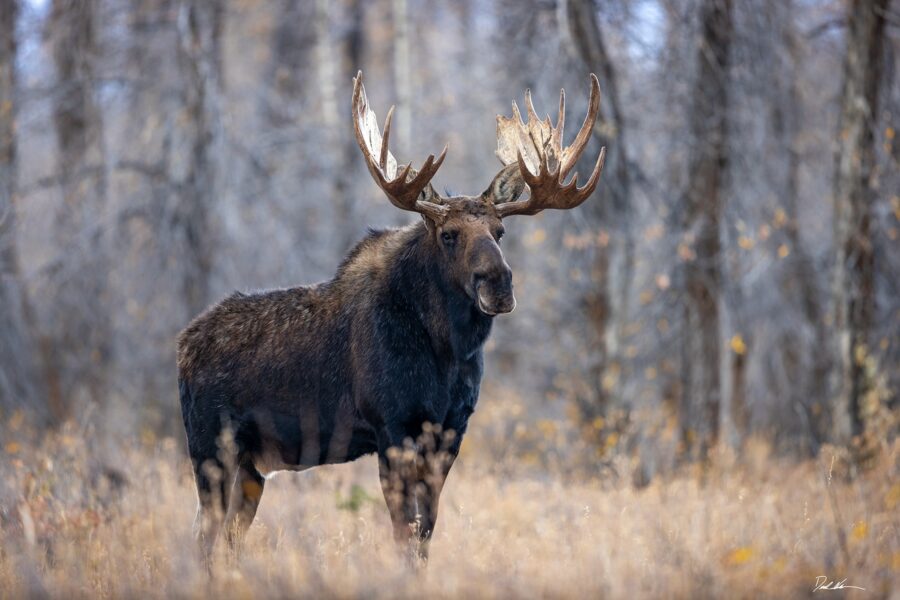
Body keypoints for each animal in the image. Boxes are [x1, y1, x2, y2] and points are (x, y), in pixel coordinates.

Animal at [178, 70, 604, 564]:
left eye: (500, 232)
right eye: (448, 234)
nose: (498, 284)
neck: (446, 353)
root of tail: (182, 345)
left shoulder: (450, 432)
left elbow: (426, 533)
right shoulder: (392, 427)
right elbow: (405, 533)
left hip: (252, 464)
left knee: (225, 540)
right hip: (208, 446)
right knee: (203, 537)